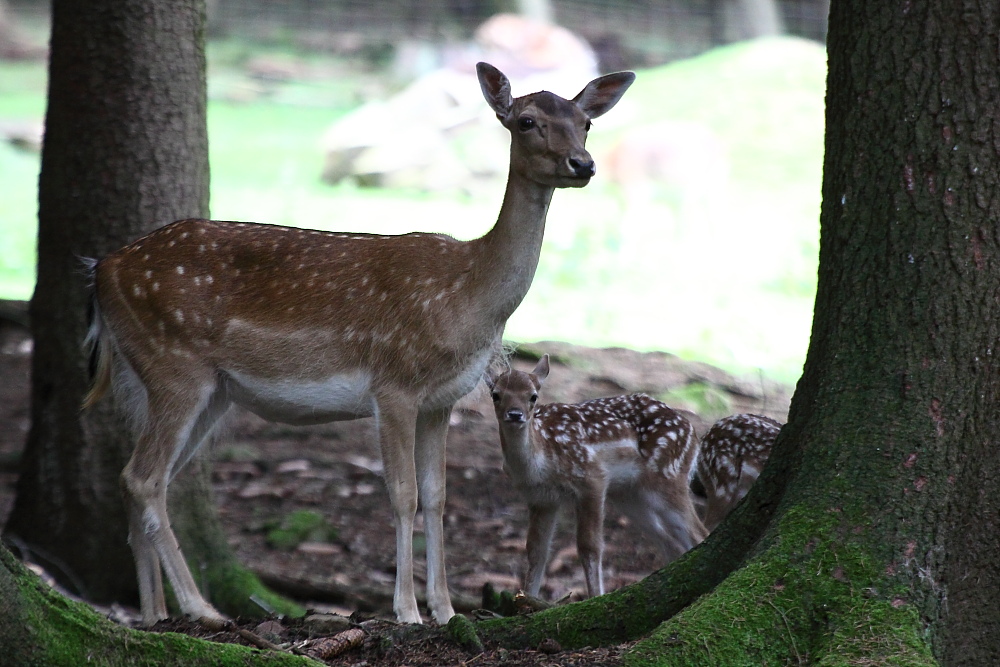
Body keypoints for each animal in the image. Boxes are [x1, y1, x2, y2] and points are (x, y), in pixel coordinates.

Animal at [80, 61, 632, 628]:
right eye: (526, 121)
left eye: (586, 122)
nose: (582, 163)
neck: (468, 296)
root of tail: (102, 269)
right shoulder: (395, 384)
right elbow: (404, 495)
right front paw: (407, 611)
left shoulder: (443, 400)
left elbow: (438, 497)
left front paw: (445, 609)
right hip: (175, 364)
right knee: (145, 478)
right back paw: (200, 607)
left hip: (201, 388)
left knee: (140, 477)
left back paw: (153, 613)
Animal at [488, 354, 708, 600]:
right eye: (496, 394)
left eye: (533, 396)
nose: (515, 414)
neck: (540, 460)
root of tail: (694, 433)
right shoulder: (541, 498)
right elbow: (536, 550)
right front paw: (527, 601)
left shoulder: (591, 478)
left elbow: (589, 546)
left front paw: (594, 596)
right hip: (629, 495)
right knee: (669, 540)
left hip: (668, 476)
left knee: (698, 532)